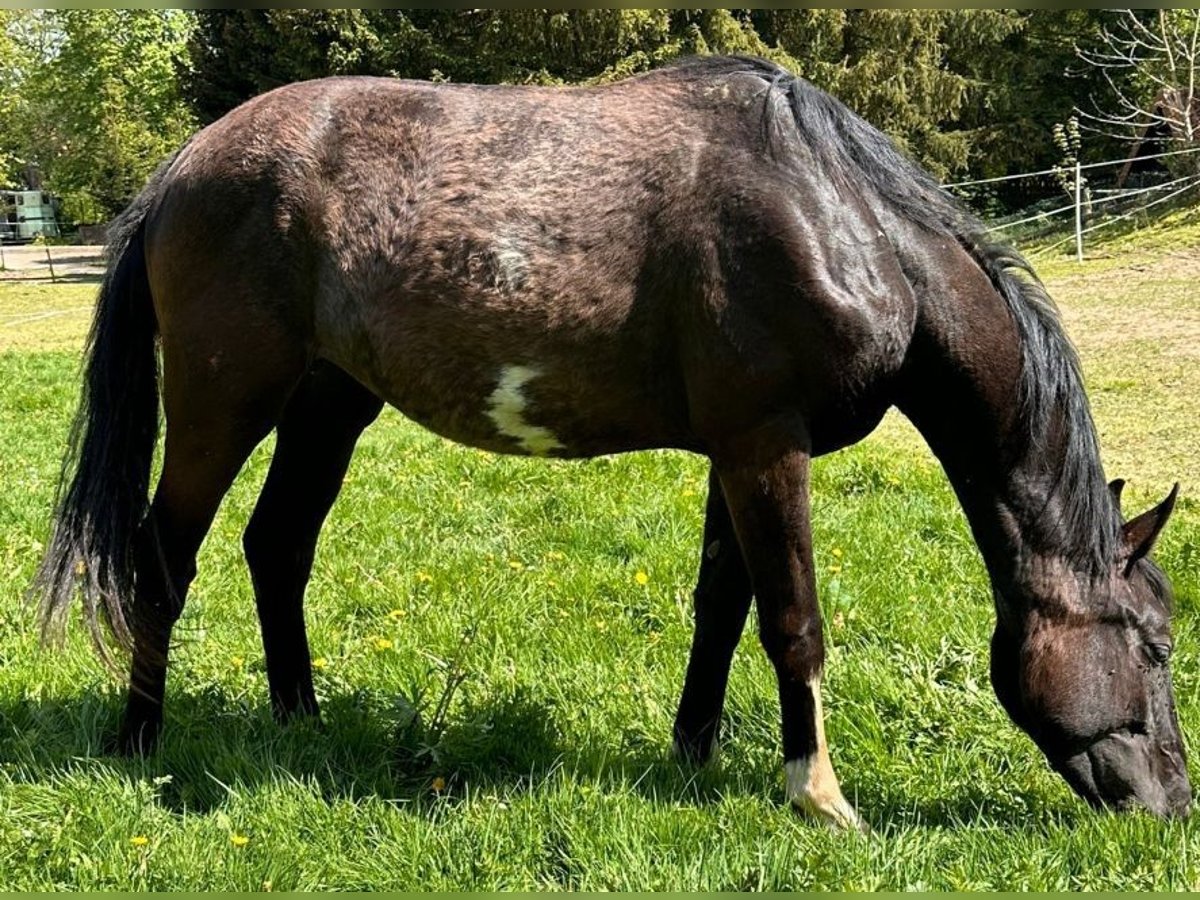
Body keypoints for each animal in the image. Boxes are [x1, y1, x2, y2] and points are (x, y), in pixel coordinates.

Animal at [32, 58, 1185, 830]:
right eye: (1156, 646)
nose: (1172, 803)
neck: (842, 221)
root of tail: (184, 166)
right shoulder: (768, 445)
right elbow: (795, 621)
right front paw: (819, 797)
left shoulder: (738, 451)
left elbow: (724, 607)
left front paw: (694, 754)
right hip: (223, 406)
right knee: (162, 559)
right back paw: (139, 743)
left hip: (329, 404)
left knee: (277, 547)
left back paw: (300, 723)